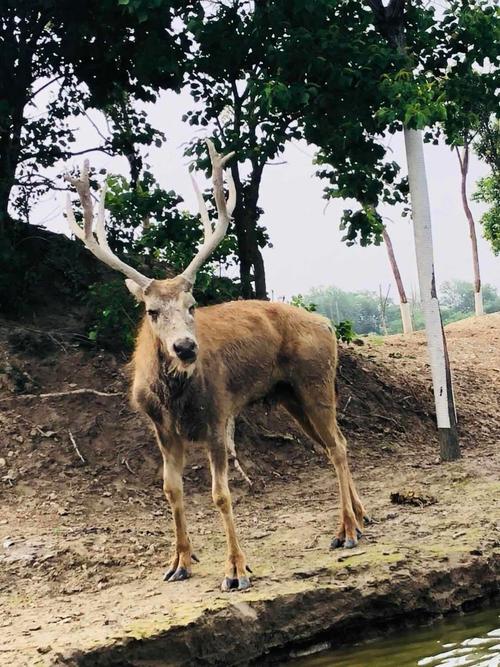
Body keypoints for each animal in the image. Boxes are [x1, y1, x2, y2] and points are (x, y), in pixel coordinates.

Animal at [64, 141, 368, 592]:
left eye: (192, 305)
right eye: (152, 311)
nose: (186, 347)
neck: (174, 399)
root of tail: (328, 323)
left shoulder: (217, 415)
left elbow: (220, 494)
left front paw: (237, 570)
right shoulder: (161, 428)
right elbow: (171, 489)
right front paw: (179, 562)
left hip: (316, 379)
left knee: (337, 447)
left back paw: (345, 530)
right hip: (288, 396)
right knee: (335, 442)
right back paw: (361, 517)